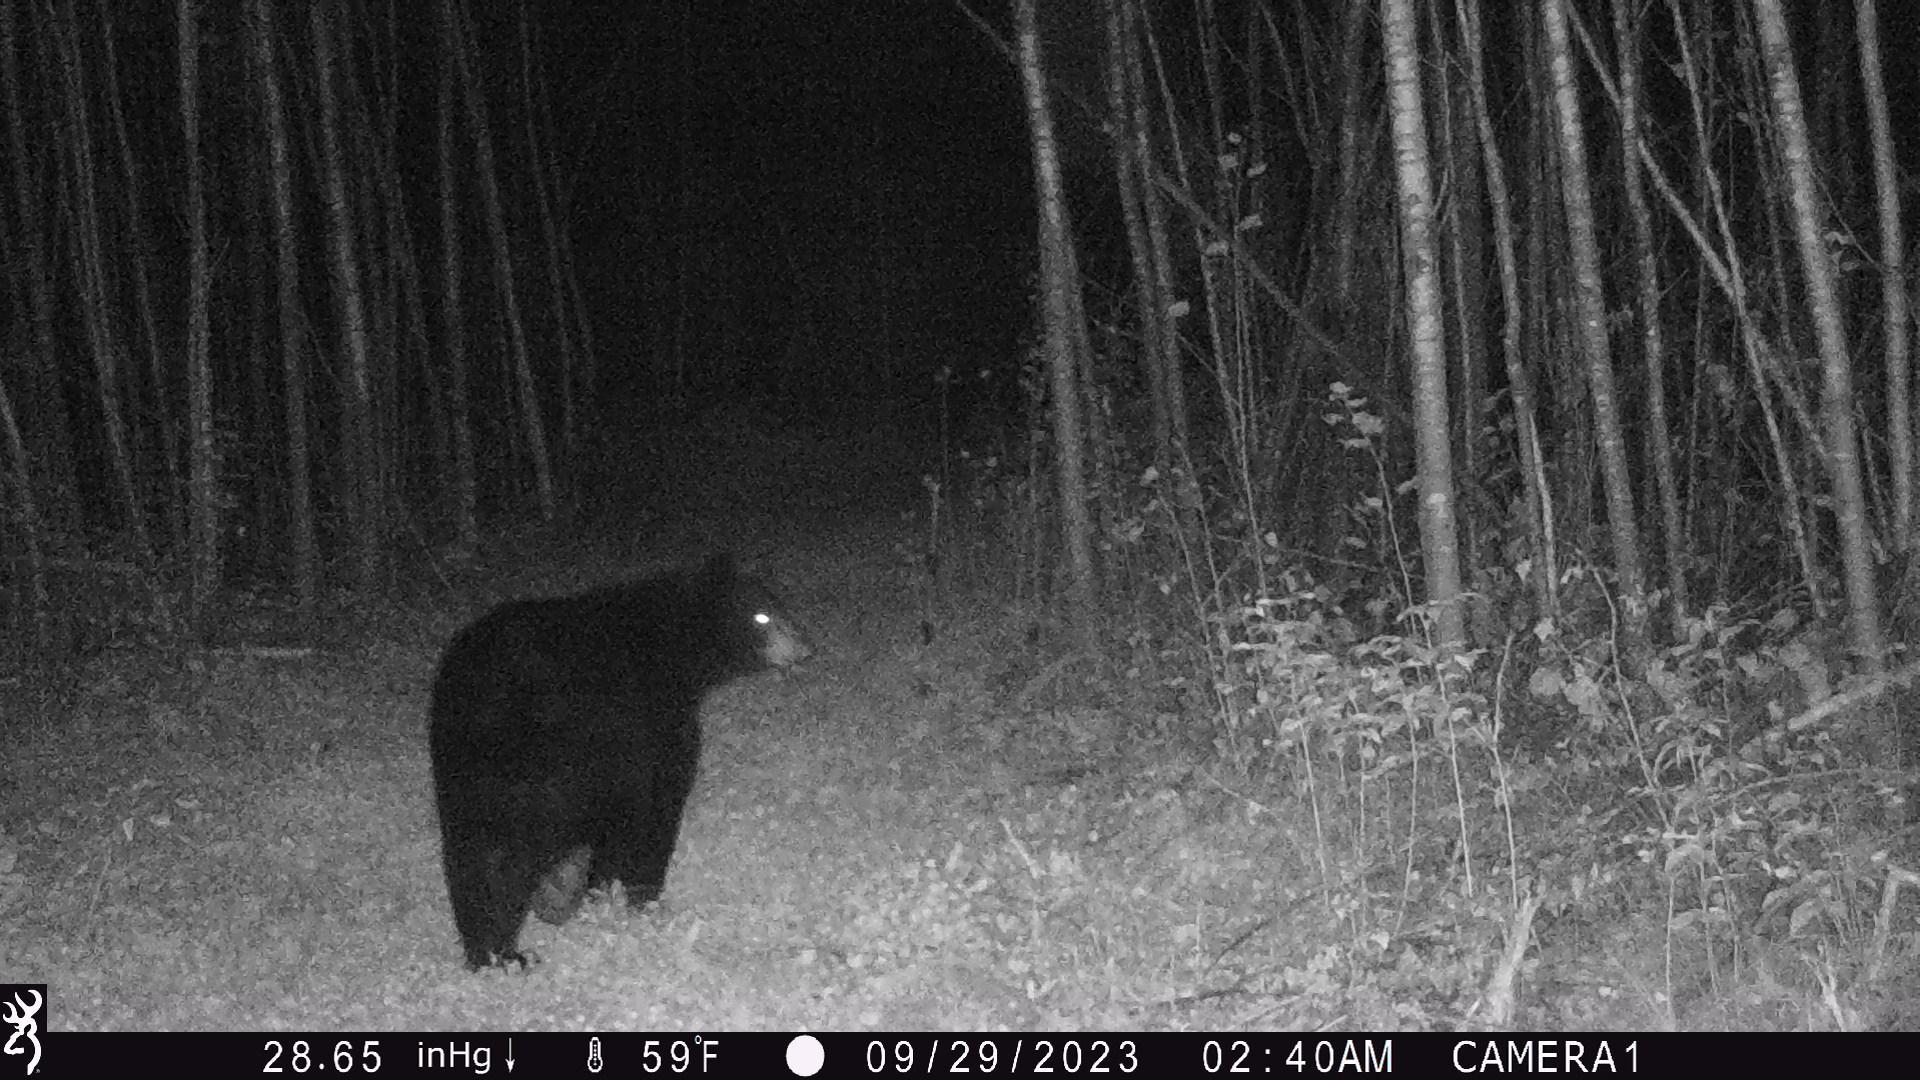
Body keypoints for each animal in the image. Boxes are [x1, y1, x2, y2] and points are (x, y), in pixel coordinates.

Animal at [427, 553, 809, 969]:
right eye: (762, 616)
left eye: (777, 607)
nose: (804, 647)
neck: (668, 645)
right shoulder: (643, 726)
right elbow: (658, 801)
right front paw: (641, 895)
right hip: (529, 771)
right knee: (510, 859)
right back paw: (506, 949)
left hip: (461, 771)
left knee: (466, 857)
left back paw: (486, 948)